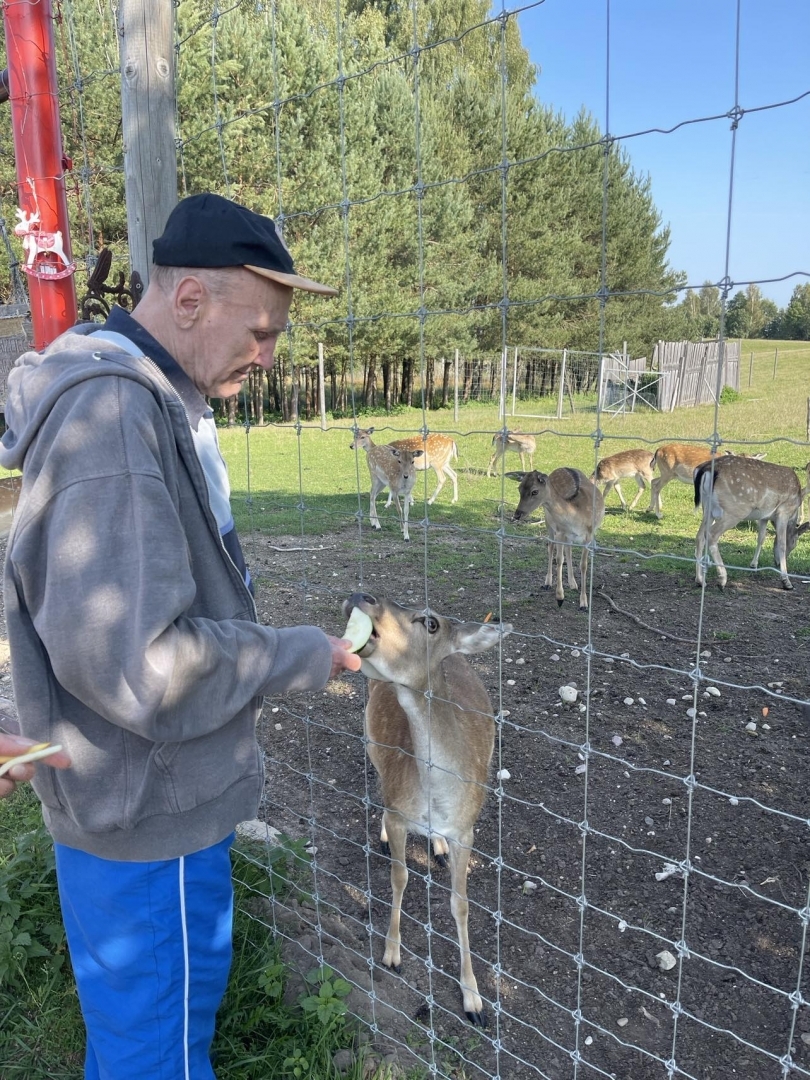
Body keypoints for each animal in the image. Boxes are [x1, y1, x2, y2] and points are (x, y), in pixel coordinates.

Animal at [343, 591, 514, 1019]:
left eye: (431, 623)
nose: (362, 595)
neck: (436, 797)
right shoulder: (399, 811)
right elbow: (400, 877)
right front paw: (391, 954)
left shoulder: (466, 829)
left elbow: (461, 904)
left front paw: (474, 999)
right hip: (371, 740)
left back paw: (436, 847)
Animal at [509, 468, 604, 613]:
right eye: (519, 488)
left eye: (534, 491)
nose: (517, 514)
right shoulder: (560, 532)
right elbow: (559, 559)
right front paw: (560, 597)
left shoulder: (589, 535)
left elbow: (583, 565)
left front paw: (584, 603)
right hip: (549, 523)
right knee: (551, 547)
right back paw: (548, 583)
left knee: (568, 549)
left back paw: (573, 583)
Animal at [695, 455, 807, 591]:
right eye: (794, 543)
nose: (777, 563)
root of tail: (705, 469)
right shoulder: (784, 511)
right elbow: (781, 544)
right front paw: (786, 581)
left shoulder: (764, 516)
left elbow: (761, 538)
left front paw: (754, 565)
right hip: (735, 509)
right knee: (711, 534)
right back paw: (722, 580)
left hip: (707, 507)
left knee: (700, 536)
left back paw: (700, 580)